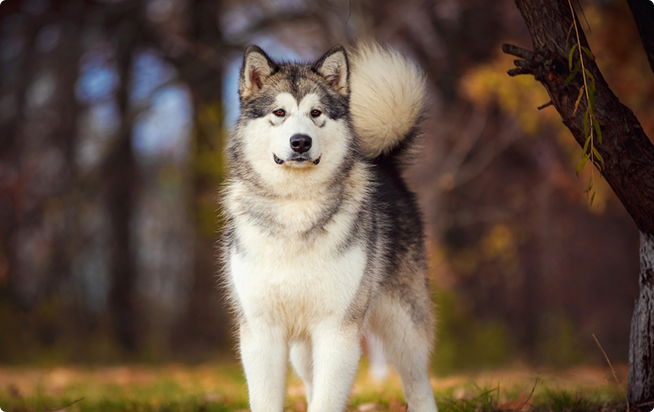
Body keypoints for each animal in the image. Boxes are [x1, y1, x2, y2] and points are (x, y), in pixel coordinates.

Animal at [222, 42, 440, 412]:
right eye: (279, 112)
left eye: (316, 113)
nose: (300, 142)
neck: (296, 205)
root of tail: (383, 162)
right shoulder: (261, 331)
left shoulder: (337, 330)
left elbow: (328, 399)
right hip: (303, 348)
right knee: (311, 382)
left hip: (403, 326)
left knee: (418, 384)